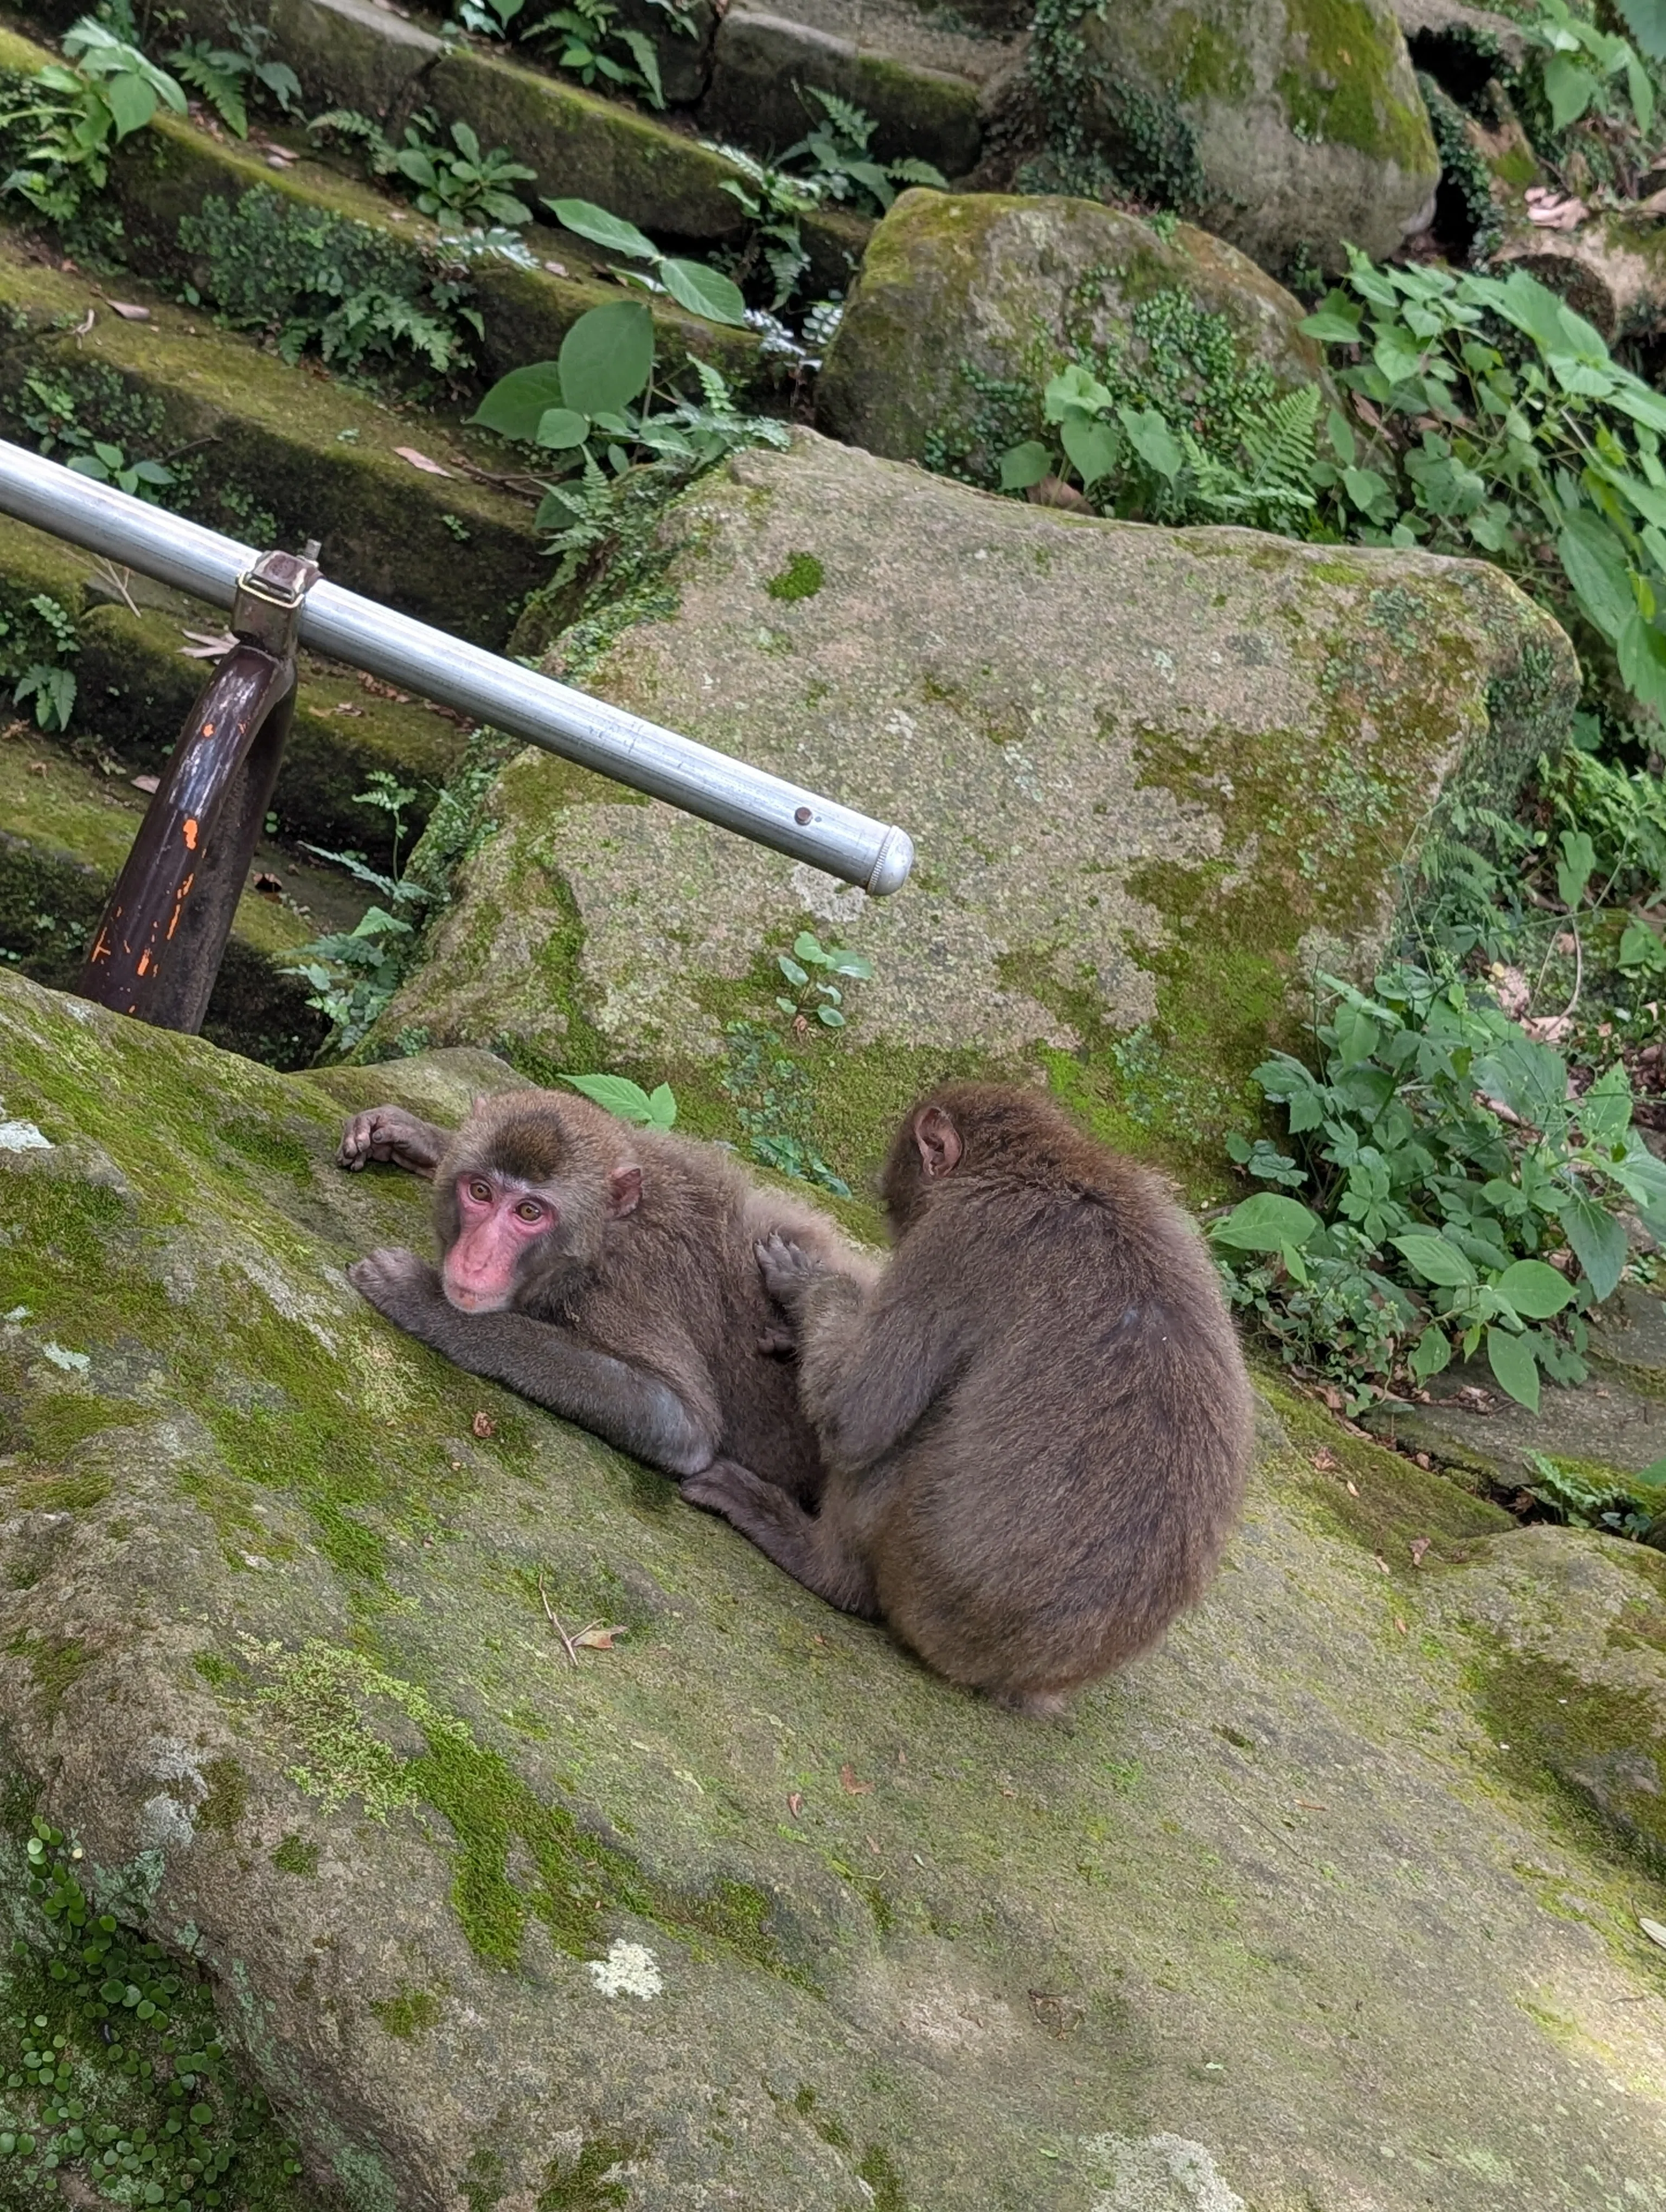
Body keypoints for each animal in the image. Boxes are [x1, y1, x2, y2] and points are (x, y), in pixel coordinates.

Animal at [338, 1091, 874, 1498]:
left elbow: (683, 1423)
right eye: (481, 1192)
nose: (476, 1260)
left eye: (529, 1213)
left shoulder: (620, 1291)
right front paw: (416, 1134)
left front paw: (422, 1299)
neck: (603, 1236)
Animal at [681, 1082, 1254, 1714]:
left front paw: (807, 1288)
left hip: (916, 1573)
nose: (894, 1226)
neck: (1059, 1168)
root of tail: (1017, 1676)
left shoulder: (959, 1235)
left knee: (900, 1436)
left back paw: (820, 1561)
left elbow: (855, 1416)